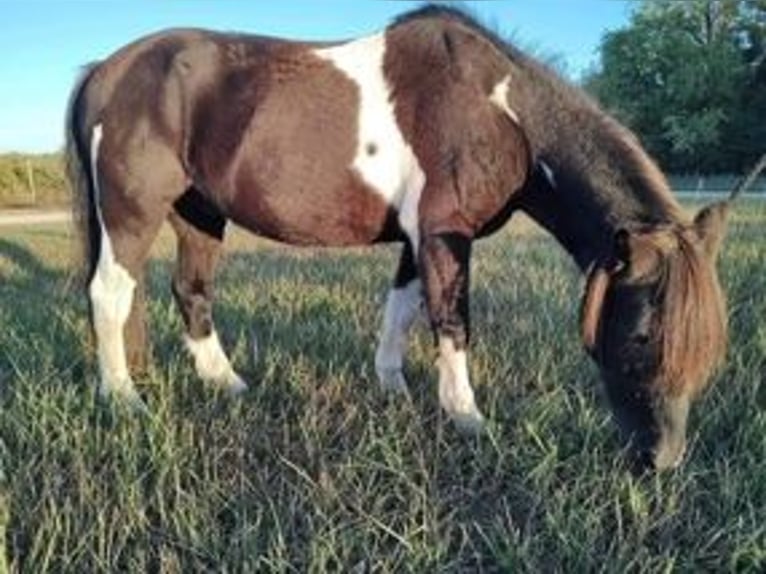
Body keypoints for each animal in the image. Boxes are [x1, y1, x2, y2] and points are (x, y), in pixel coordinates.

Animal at [63, 5, 728, 472]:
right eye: (641, 335)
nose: (660, 460)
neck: (495, 109)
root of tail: (104, 70)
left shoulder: (416, 240)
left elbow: (402, 311)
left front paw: (394, 390)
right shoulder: (444, 234)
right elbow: (452, 320)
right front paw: (467, 419)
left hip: (197, 214)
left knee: (190, 291)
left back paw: (227, 385)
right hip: (132, 213)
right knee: (109, 296)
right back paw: (123, 399)